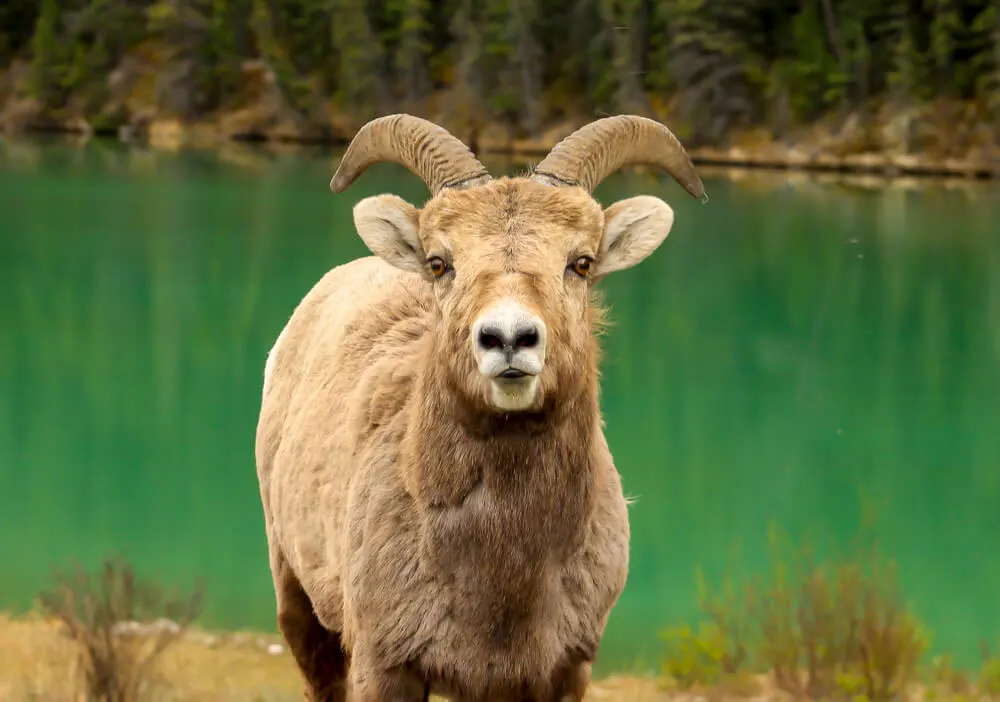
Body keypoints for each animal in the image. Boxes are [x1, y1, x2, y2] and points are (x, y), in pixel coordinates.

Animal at [256, 115, 712, 702]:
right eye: (439, 263)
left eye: (581, 263)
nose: (509, 338)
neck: (501, 574)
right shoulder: (384, 667)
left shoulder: (563, 673)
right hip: (300, 606)